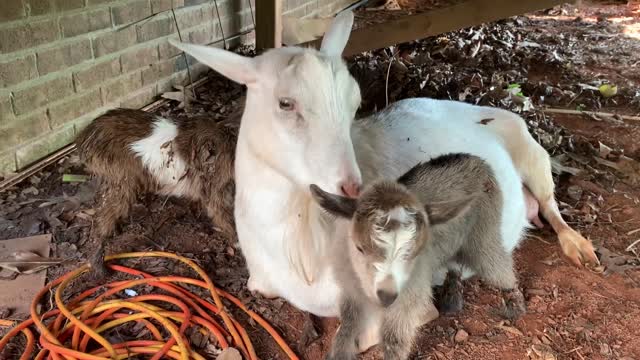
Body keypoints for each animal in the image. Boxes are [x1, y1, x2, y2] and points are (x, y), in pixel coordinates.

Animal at [168, 10, 596, 320]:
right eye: (285, 103)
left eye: (356, 101)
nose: (352, 187)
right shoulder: (260, 280)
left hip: (531, 152)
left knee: (552, 206)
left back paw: (580, 248)